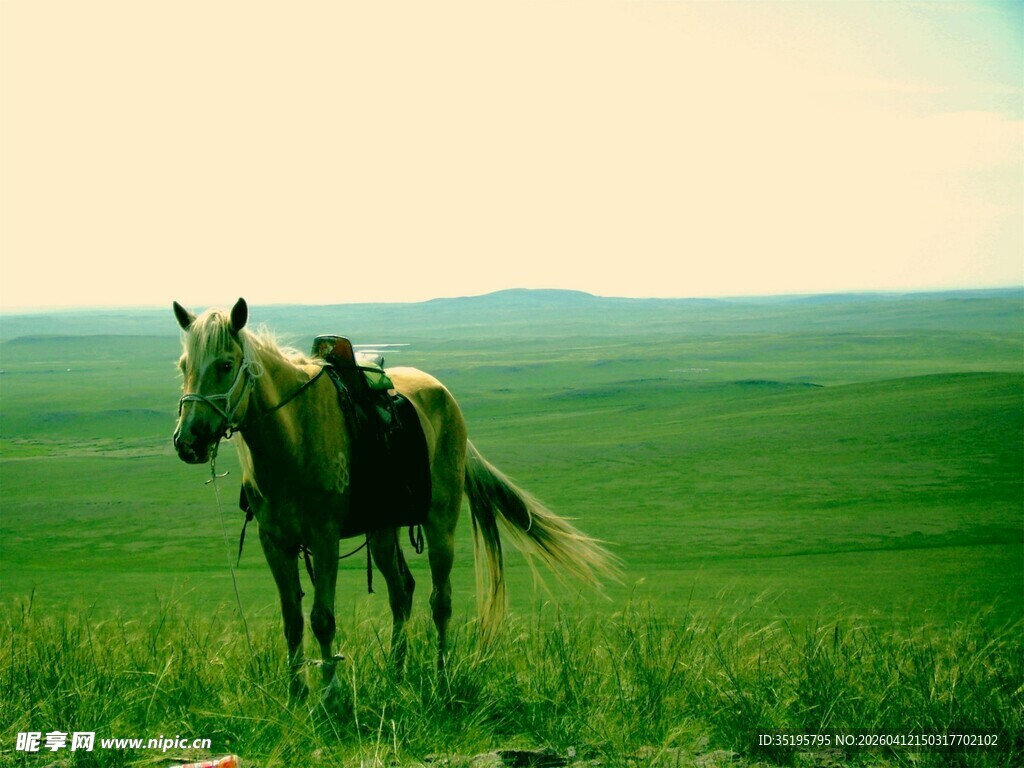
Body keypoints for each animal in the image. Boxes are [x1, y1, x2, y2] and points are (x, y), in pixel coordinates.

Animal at [171, 297, 617, 701]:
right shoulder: (274, 542)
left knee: (441, 600)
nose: (188, 441)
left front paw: (331, 695)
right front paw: (296, 694)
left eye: (225, 365)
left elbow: (322, 619)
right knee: (401, 593)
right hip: (383, 529)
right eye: (183, 366)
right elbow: (292, 620)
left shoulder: (324, 538)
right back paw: (395, 675)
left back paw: (441, 679)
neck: (293, 434)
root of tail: (445, 396)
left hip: (440, 522)